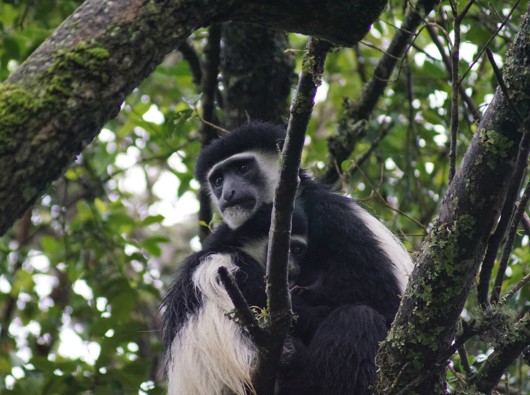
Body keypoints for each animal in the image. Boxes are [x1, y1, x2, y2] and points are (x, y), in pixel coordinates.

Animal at [194, 122, 412, 394]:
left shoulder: (334, 217)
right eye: (218, 179)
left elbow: (382, 299)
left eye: (242, 168)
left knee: (359, 317)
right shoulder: (224, 236)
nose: (227, 193)